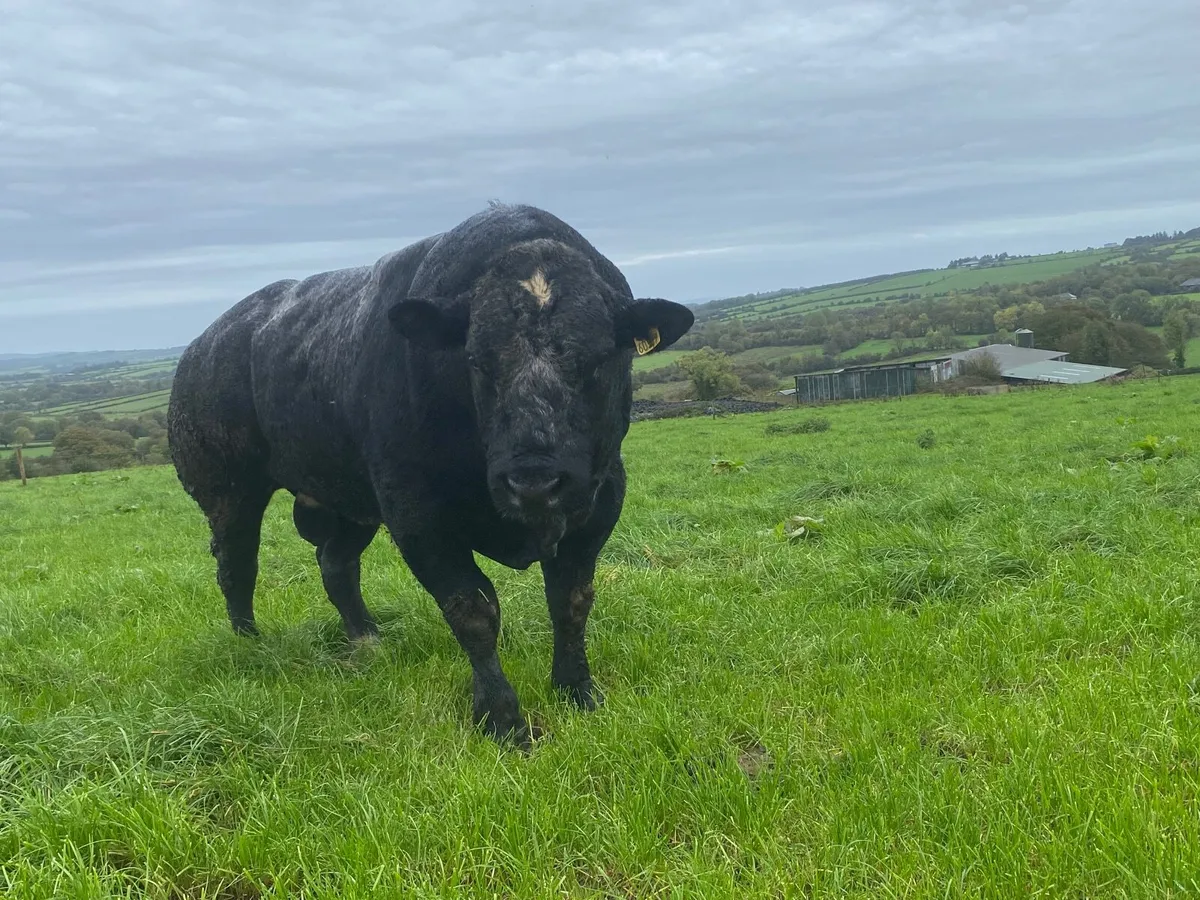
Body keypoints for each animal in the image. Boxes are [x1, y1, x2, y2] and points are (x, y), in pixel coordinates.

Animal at [166, 203, 694, 748]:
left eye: (598, 359)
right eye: (476, 361)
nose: (533, 481)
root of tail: (203, 345)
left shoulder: (598, 504)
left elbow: (570, 601)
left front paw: (577, 691)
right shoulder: (417, 517)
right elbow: (474, 611)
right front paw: (503, 719)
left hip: (351, 500)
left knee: (336, 564)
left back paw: (367, 640)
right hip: (228, 493)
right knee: (237, 567)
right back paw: (251, 644)